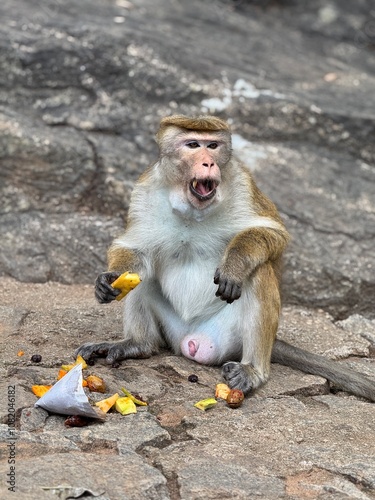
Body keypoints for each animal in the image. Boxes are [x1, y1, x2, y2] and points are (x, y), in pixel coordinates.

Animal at [76, 114, 375, 402]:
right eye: (193, 145)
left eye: (213, 145)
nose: (208, 162)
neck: (194, 210)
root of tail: (190, 338)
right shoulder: (145, 190)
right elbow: (135, 249)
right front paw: (107, 281)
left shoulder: (243, 184)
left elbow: (273, 233)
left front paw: (234, 266)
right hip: (173, 329)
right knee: (141, 277)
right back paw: (137, 344)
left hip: (228, 337)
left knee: (259, 272)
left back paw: (253, 370)